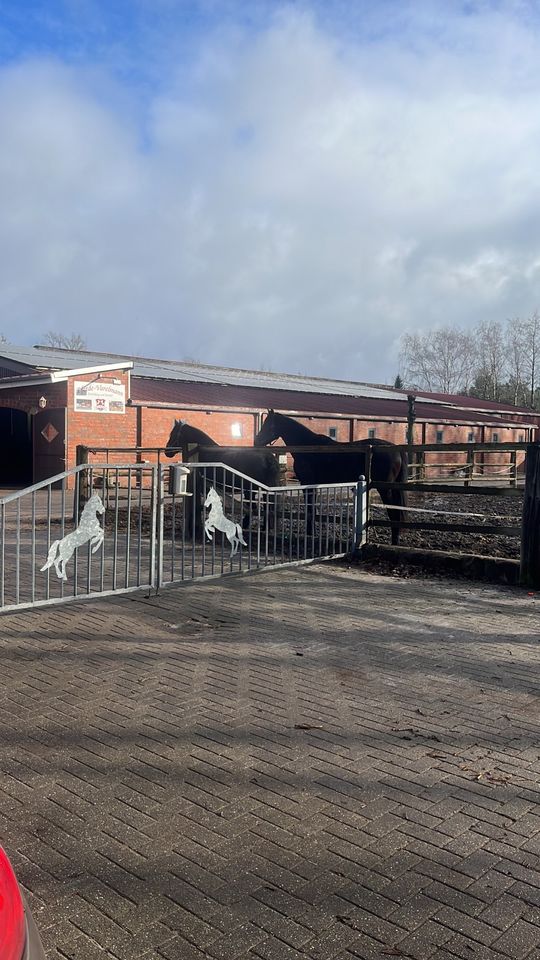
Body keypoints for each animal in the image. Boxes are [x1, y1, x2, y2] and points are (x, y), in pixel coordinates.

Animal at [255, 408, 408, 544]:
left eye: (269, 425)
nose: (256, 441)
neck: (309, 447)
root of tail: (396, 449)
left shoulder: (307, 484)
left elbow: (310, 510)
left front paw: (310, 534)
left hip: (385, 489)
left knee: (394, 514)